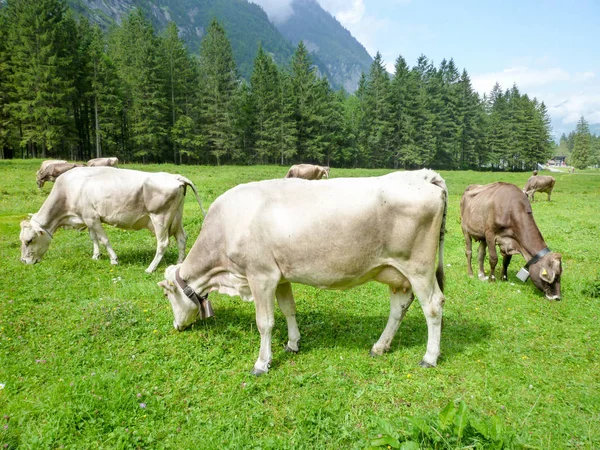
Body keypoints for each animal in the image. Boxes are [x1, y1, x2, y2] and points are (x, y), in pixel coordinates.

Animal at [19, 167, 205, 272]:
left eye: (29, 240)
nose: (24, 261)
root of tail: (176, 177)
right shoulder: (87, 218)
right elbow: (93, 238)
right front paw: (96, 256)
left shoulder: (93, 217)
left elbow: (104, 239)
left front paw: (114, 259)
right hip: (176, 217)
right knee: (181, 238)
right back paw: (179, 263)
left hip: (160, 218)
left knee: (163, 243)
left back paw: (150, 268)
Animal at [157, 167, 448, 374]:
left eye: (167, 296)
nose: (176, 326)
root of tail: (421, 175)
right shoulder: (280, 276)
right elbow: (288, 310)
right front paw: (293, 344)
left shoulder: (261, 275)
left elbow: (265, 322)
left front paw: (262, 363)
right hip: (396, 273)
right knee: (399, 307)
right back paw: (379, 346)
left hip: (419, 268)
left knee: (433, 306)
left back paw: (429, 357)